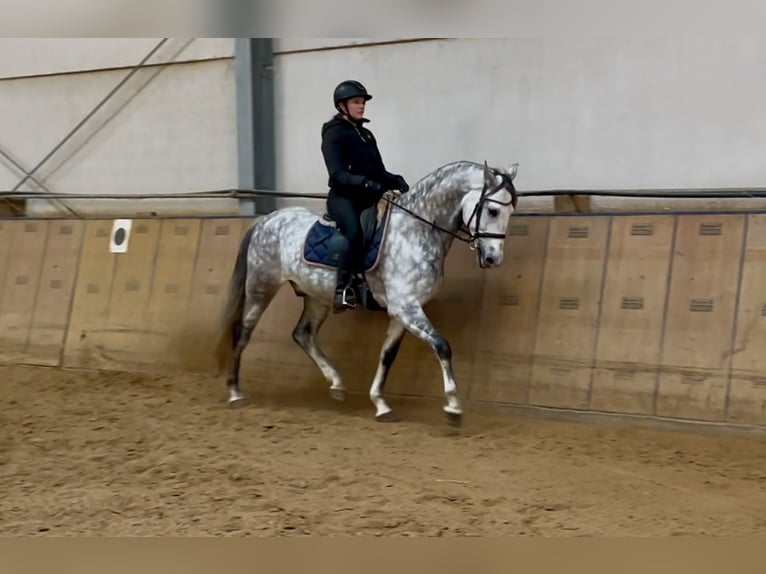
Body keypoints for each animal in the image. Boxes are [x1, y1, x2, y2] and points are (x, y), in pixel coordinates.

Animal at [213, 161, 520, 428]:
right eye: (493, 210)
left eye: (510, 211)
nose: (493, 259)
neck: (417, 230)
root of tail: (265, 220)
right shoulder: (406, 307)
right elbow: (442, 346)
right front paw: (454, 408)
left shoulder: (402, 311)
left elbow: (387, 355)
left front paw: (381, 405)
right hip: (261, 287)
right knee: (242, 332)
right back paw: (235, 393)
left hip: (316, 296)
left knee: (303, 334)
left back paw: (336, 384)